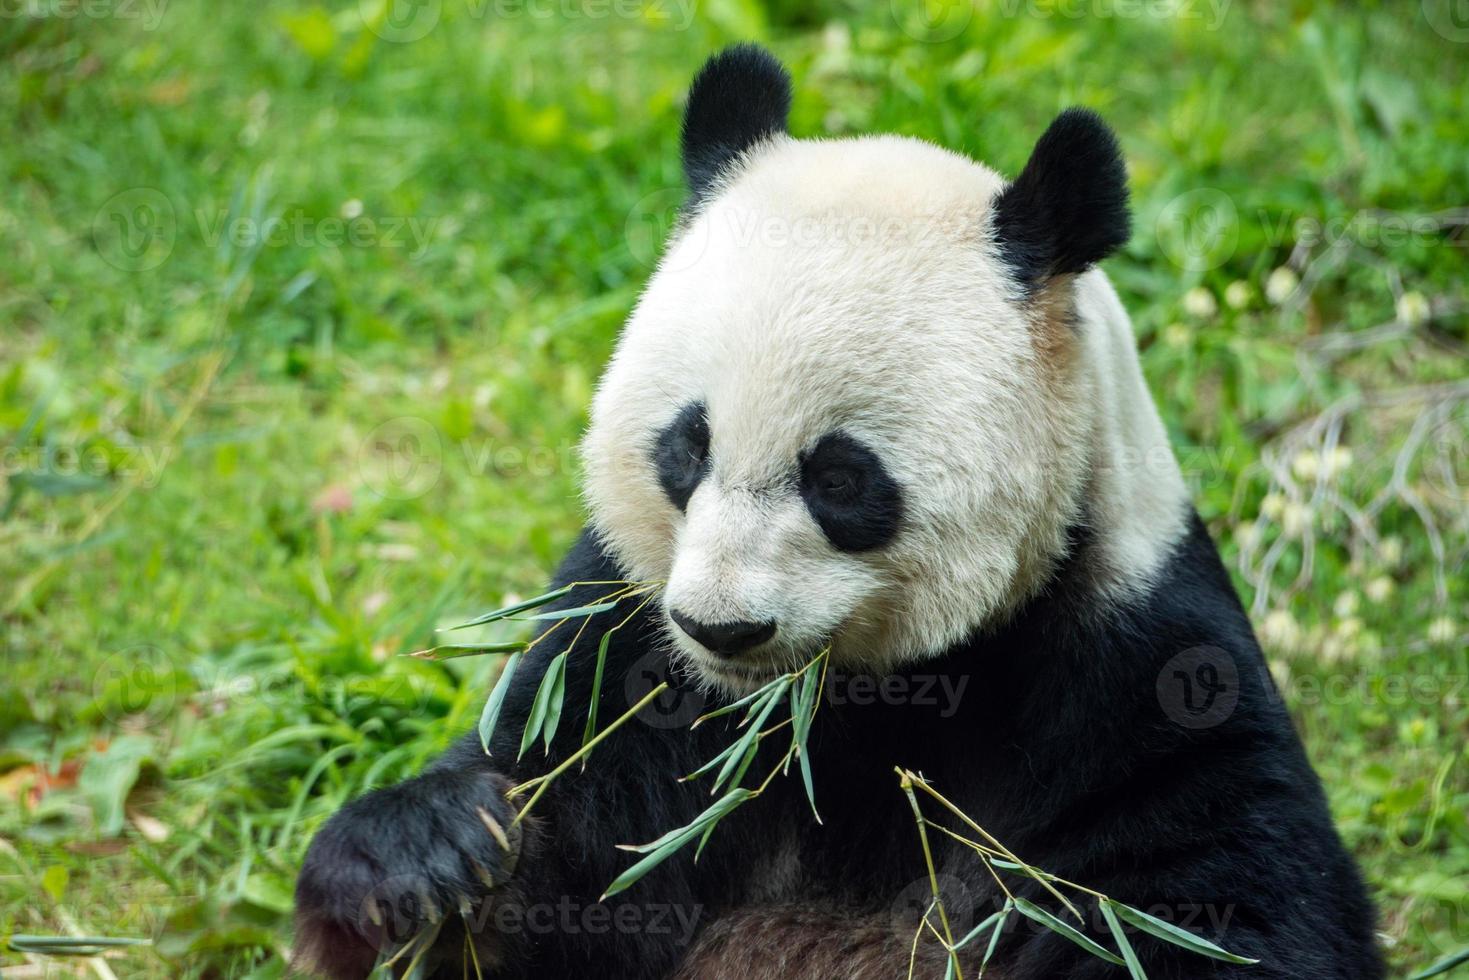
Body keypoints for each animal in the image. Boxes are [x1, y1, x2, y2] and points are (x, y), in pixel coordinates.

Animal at [292, 45, 1380, 980]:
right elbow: (566, 847)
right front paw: (431, 853)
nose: (720, 627)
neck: (843, 705)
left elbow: (1206, 892)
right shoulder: (631, 652)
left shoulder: (1129, 656)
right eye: (686, 447)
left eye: (842, 479)